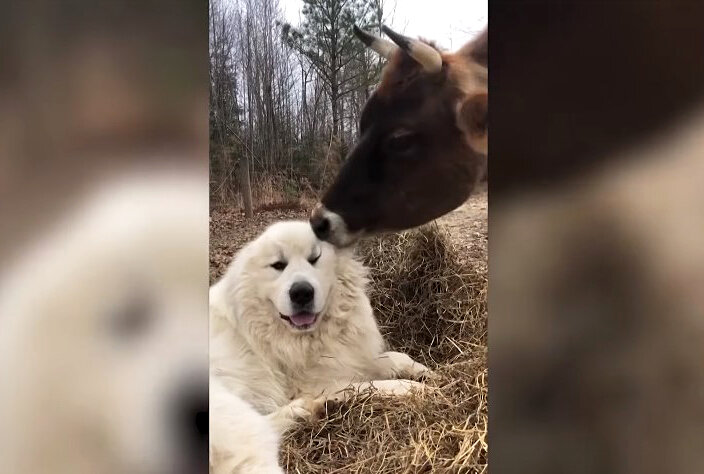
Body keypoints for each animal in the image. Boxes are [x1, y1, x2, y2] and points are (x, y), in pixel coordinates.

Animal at [209, 222, 428, 470]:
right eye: (278, 265)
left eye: (314, 258)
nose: (301, 292)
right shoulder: (315, 384)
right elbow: (372, 386)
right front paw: (415, 388)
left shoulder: (347, 358)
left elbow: (390, 358)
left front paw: (420, 370)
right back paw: (307, 410)